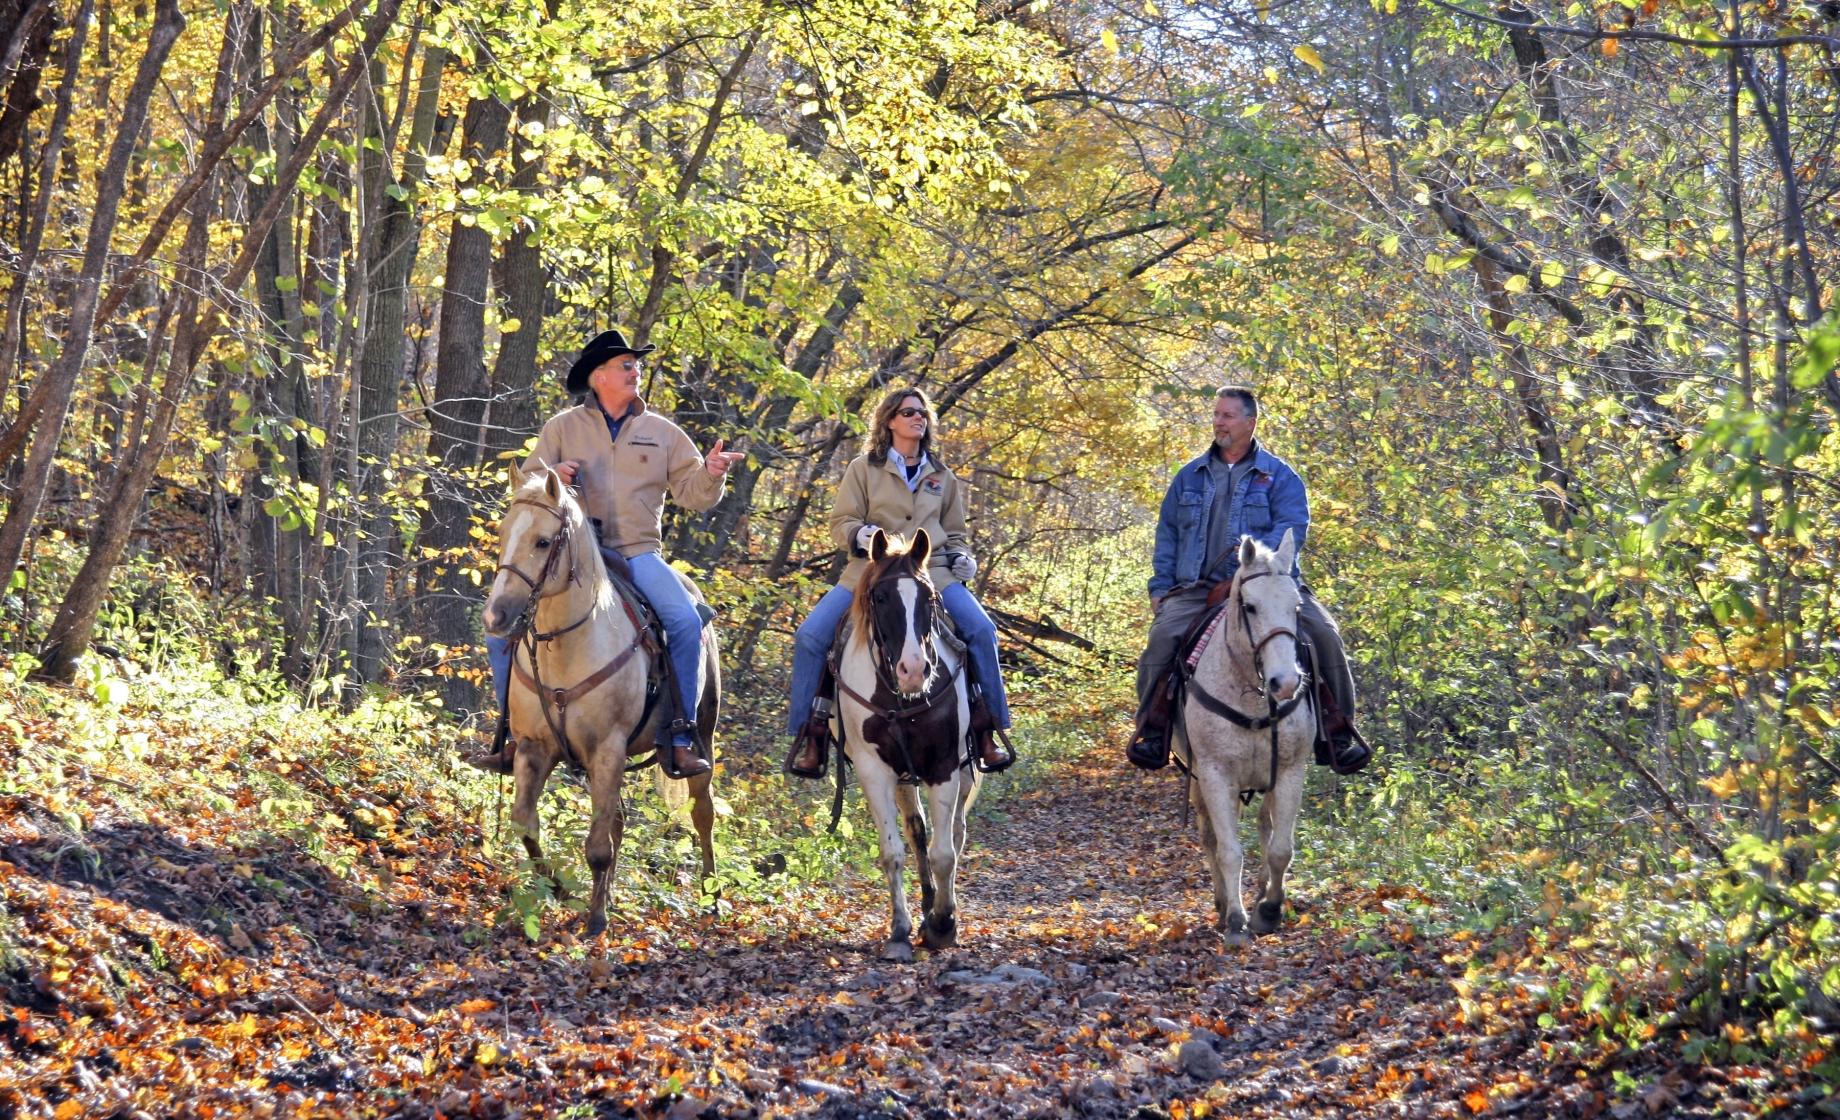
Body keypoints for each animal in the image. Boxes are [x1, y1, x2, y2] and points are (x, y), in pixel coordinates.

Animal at [482, 465, 717, 934]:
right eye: (503, 532)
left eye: (543, 541)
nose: (495, 617)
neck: (565, 647)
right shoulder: (536, 749)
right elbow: (526, 825)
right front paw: (561, 890)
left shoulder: (607, 749)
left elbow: (596, 845)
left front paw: (594, 919)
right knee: (619, 820)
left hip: (703, 737)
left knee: (703, 815)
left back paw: (712, 897)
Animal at [839, 529, 986, 963]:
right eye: (880, 598)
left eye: (930, 598)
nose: (915, 670)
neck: (899, 697)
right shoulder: (875, 772)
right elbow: (894, 851)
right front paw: (901, 929)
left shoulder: (943, 765)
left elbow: (944, 853)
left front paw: (944, 924)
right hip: (904, 777)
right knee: (917, 830)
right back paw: (924, 907)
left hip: (964, 771)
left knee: (955, 832)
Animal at [1177, 529, 1324, 941]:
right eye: (1251, 607)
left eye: (1296, 607)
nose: (1285, 683)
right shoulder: (1215, 775)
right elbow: (1228, 849)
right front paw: (1235, 919)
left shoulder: (1290, 772)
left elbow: (1280, 848)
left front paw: (1270, 909)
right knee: (1211, 837)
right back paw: (1223, 901)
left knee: (1265, 826)